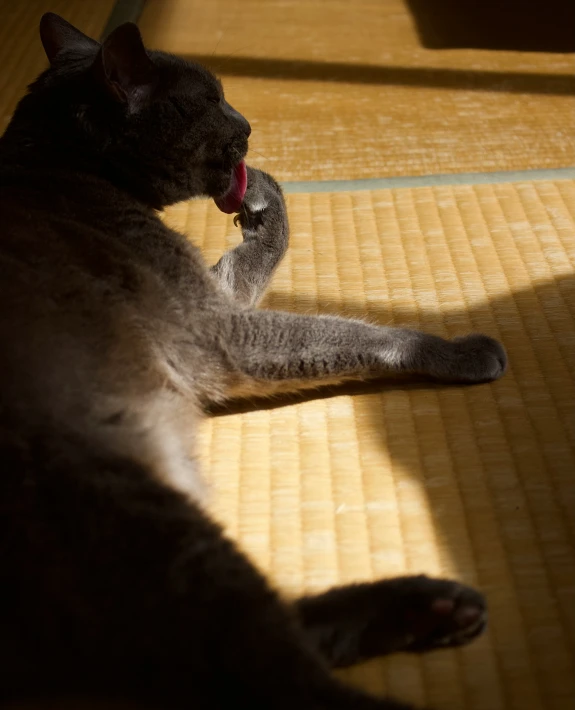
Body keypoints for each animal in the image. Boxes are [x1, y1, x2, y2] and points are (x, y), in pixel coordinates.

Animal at [0, 12, 504, 710]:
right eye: (212, 99)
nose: (246, 123)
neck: (59, 165)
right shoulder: (217, 331)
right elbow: (345, 330)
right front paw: (461, 351)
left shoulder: (221, 299)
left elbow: (267, 243)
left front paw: (262, 193)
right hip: (149, 530)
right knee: (271, 673)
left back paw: (435, 608)